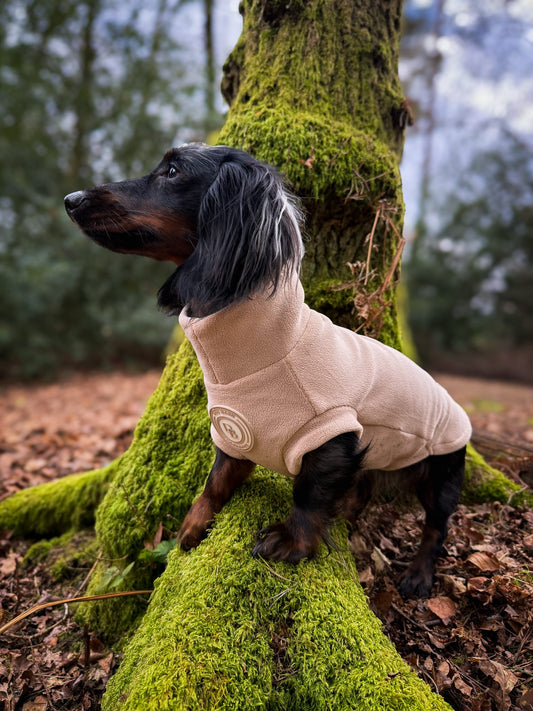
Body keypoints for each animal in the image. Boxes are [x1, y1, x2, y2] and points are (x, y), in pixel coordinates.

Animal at [65, 143, 471, 597]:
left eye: (172, 171)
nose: (71, 199)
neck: (258, 355)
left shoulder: (332, 437)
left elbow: (308, 495)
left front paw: (293, 542)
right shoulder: (235, 435)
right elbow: (215, 480)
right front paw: (193, 525)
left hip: (442, 469)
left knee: (436, 527)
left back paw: (418, 574)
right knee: (363, 489)